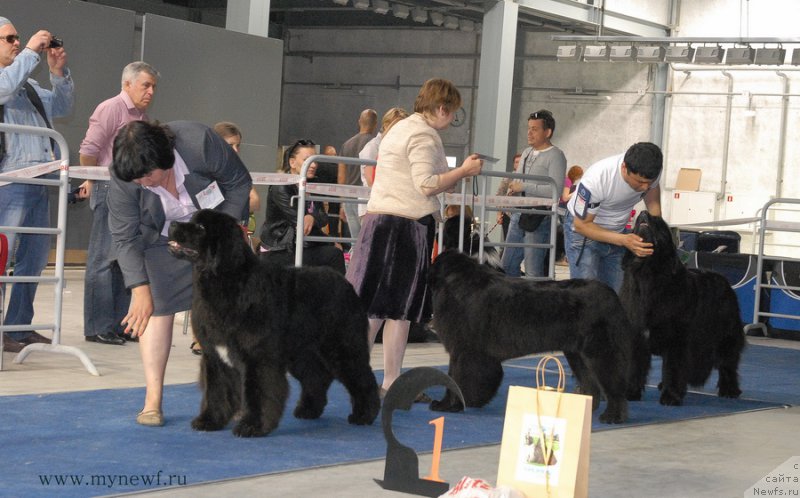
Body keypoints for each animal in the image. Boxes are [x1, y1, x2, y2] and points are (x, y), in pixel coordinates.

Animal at [167, 209, 380, 436]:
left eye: (201, 228)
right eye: (192, 220)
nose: (172, 224)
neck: (226, 281)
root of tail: (345, 282)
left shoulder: (257, 356)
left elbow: (257, 392)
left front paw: (252, 425)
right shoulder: (215, 356)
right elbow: (216, 392)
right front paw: (209, 421)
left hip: (343, 347)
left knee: (362, 377)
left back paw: (364, 415)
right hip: (301, 352)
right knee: (317, 376)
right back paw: (308, 410)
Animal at [428, 251, 648, 422]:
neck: (456, 283)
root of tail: (612, 296)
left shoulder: (464, 350)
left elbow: (455, 378)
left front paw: (451, 404)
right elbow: (452, 376)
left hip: (600, 351)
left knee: (613, 384)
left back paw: (613, 416)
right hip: (577, 354)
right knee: (590, 382)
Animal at [620, 210, 744, 404]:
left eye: (658, 221)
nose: (644, 212)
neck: (647, 274)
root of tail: (724, 281)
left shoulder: (677, 338)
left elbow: (674, 368)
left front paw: (671, 396)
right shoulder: (637, 336)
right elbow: (635, 367)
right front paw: (631, 393)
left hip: (726, 336)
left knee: (728, 364)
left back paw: (730, 390)